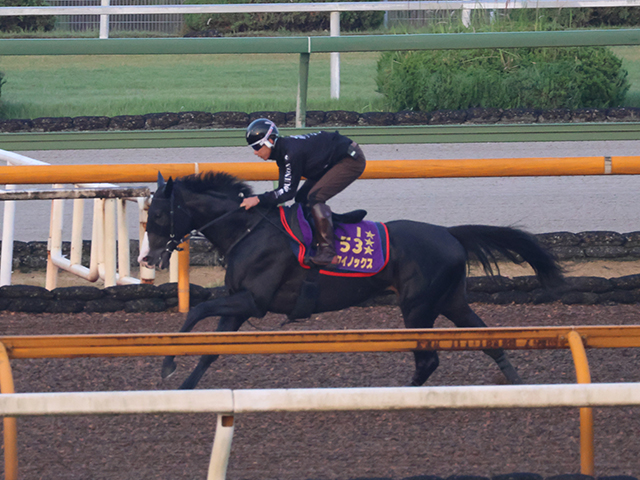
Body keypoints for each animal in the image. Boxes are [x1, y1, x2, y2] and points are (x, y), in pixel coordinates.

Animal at [142, 172, 564, 390]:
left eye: (159, 214)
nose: (147, 257)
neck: (248, 230)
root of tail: (449, 233)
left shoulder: (254, 301)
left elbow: (196, 311)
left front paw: (167, 365)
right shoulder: (239, 302)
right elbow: (210, 349)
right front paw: (183, 390)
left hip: (418, 306)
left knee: (428, 359)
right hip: (450, 301)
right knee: (487, 340)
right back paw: (517, 383)